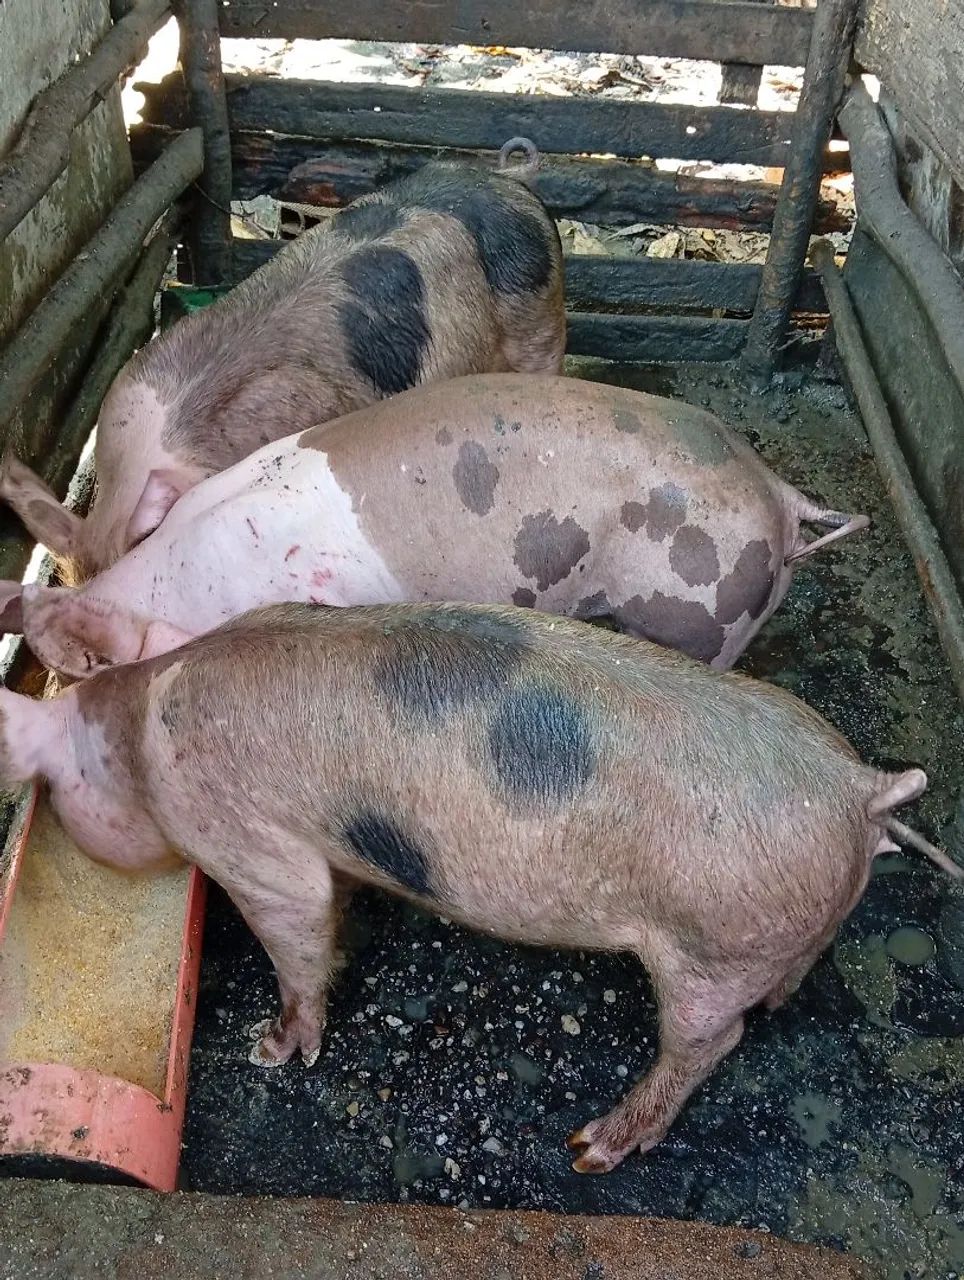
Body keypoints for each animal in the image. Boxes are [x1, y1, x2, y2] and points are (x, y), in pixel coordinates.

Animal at [0, 601, 957, 1172]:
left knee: (709, 1043)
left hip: (714, 945)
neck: (135, 734)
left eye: (53, 790)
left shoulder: (248, 841)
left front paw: (271, 1051)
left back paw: (591, 1148)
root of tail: (858, 789)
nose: (63, 838)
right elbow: (336, 913)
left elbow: (298, 931)